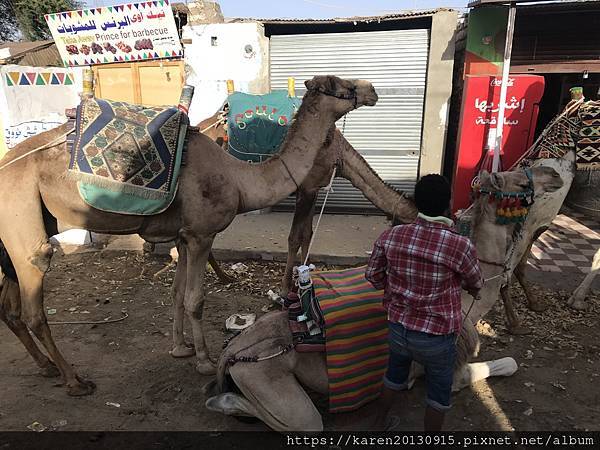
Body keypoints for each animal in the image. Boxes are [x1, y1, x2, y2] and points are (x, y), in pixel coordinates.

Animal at [0, 75, 378, 396]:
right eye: (341, 87)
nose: (372, 90)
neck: (240, 179)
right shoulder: (201, 235)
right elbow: (196, 299)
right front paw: (204, 360)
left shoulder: (183, 236)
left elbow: (176, 293)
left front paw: (180, 348)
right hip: (21, 216)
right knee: (34, 300)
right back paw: (74, 380)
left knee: (10, 308)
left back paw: (46, 367)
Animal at [203, 166, 564, 432]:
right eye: (519, 180)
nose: (555, 174)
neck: (466, 303)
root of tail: (233, 353)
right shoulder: (451, 370)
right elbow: (506, 364)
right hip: (269, 383)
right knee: (298, 419)